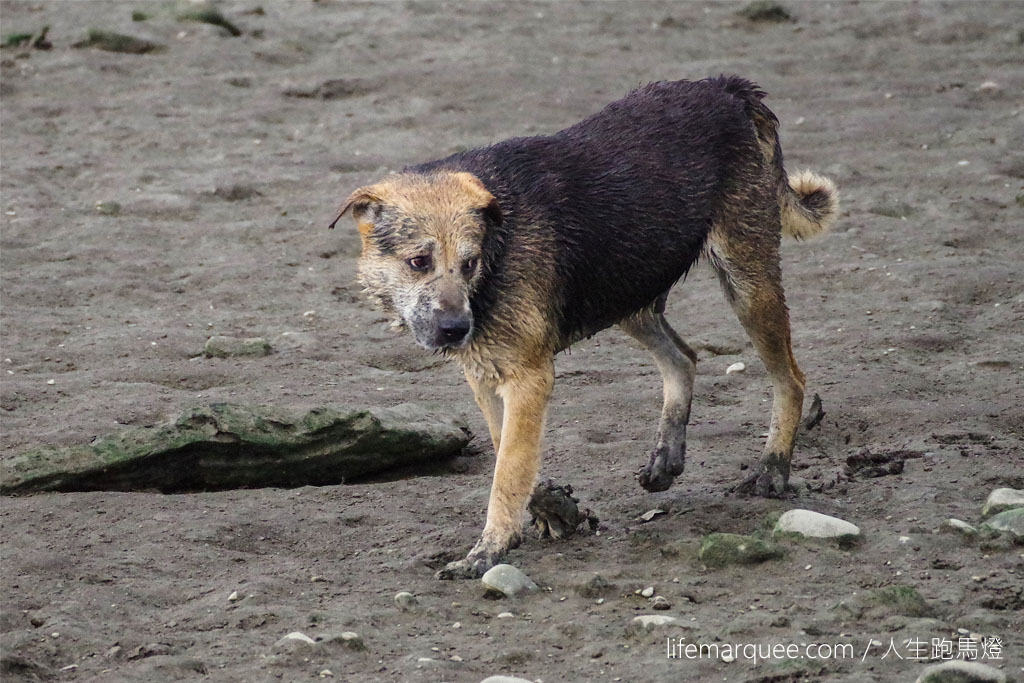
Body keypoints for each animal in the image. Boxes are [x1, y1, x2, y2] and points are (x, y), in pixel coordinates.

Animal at [331, 77, 835, 581]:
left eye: (468, 263)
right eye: (419, 262)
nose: (456, 329)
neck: (498, 246)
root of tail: (728, 87)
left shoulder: (529, 378)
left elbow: (508, 472)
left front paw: (488, 550)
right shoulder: (486, 377)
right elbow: (508, 453)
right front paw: (554, 509)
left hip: (746, 286)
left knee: (791, 379)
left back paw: (772, 469)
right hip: (629, 292)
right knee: (684, 358)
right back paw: (667, 457)